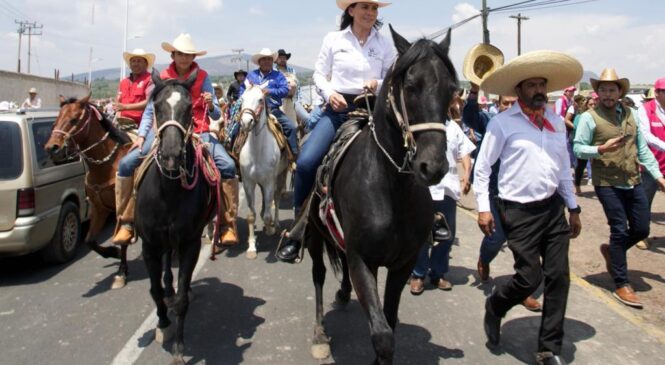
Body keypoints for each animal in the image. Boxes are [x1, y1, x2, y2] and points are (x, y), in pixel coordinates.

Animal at [45, 94, 134, 288]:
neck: (107, 165)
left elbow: (122, 239)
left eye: (74, 119)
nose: (52, 148)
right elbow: (89, 241)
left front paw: (121, 272)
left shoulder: (121, 208)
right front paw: (113, 252)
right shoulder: (98, 208)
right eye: (55, 120)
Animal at [135, 69, 215, 364]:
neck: (168, 191)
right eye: (156, 106)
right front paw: (162, 323)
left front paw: (179, 348)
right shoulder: (149, 245)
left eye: (189, 107)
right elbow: (154, 289)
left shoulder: (190, 243)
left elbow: (182, 300)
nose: (171, 155)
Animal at [240, 82, 290, 258]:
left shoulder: (269, 181)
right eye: (242, 98)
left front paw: (269, 229)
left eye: (261, 99)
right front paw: (251, 247)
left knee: (276, 198)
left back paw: (276, 224)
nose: (246, 122)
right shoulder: (248, 182)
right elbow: (251, 215)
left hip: (281, 176)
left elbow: (269, 211)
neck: (256, 150)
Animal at [306, 26, 456, 364]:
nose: (433, 166)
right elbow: (383, 335)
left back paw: (343, 294)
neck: (391, 189)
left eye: (452, 89)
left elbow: (389, 321)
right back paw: (320, 332)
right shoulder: (363, 260)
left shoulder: (403, 263)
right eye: (411, 86)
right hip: (314, 234)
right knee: (319, 273)